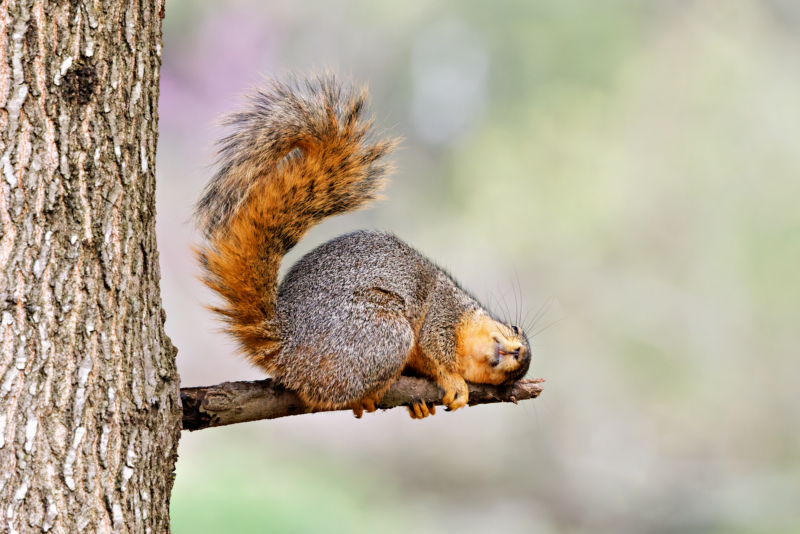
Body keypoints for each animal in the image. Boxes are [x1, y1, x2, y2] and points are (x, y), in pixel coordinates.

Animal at [194, 73, 532, 420]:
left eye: (508, 380)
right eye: (514, 327)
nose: (520, 353)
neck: (467, 330)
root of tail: (287, 349)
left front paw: (422, 403)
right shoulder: (442, 312)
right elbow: (433, 347)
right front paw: (452, 380)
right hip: (384, 335)